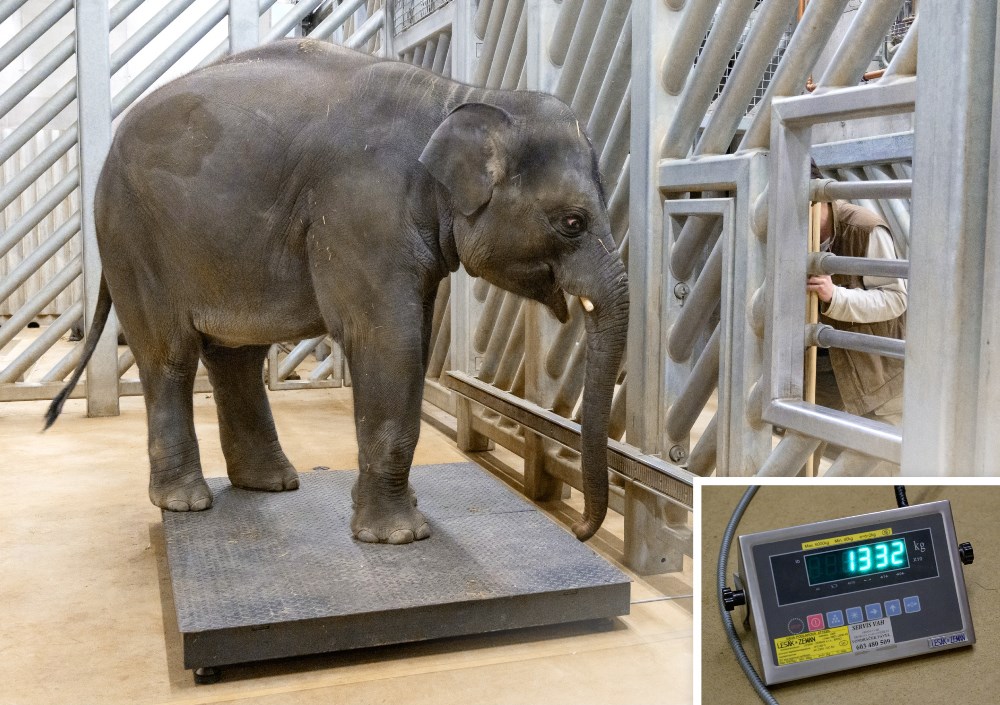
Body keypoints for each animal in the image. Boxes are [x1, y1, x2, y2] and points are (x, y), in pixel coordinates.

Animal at [48, 38, 624, 544]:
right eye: (572, 222)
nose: (579, 531)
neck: (460, 95)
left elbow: (413, 339)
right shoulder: (360, 209)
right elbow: (388, 342)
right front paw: (399, 537)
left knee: (235, 355)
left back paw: (271, 485)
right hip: (133, 238)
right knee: (169, 354)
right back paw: (184, 504)